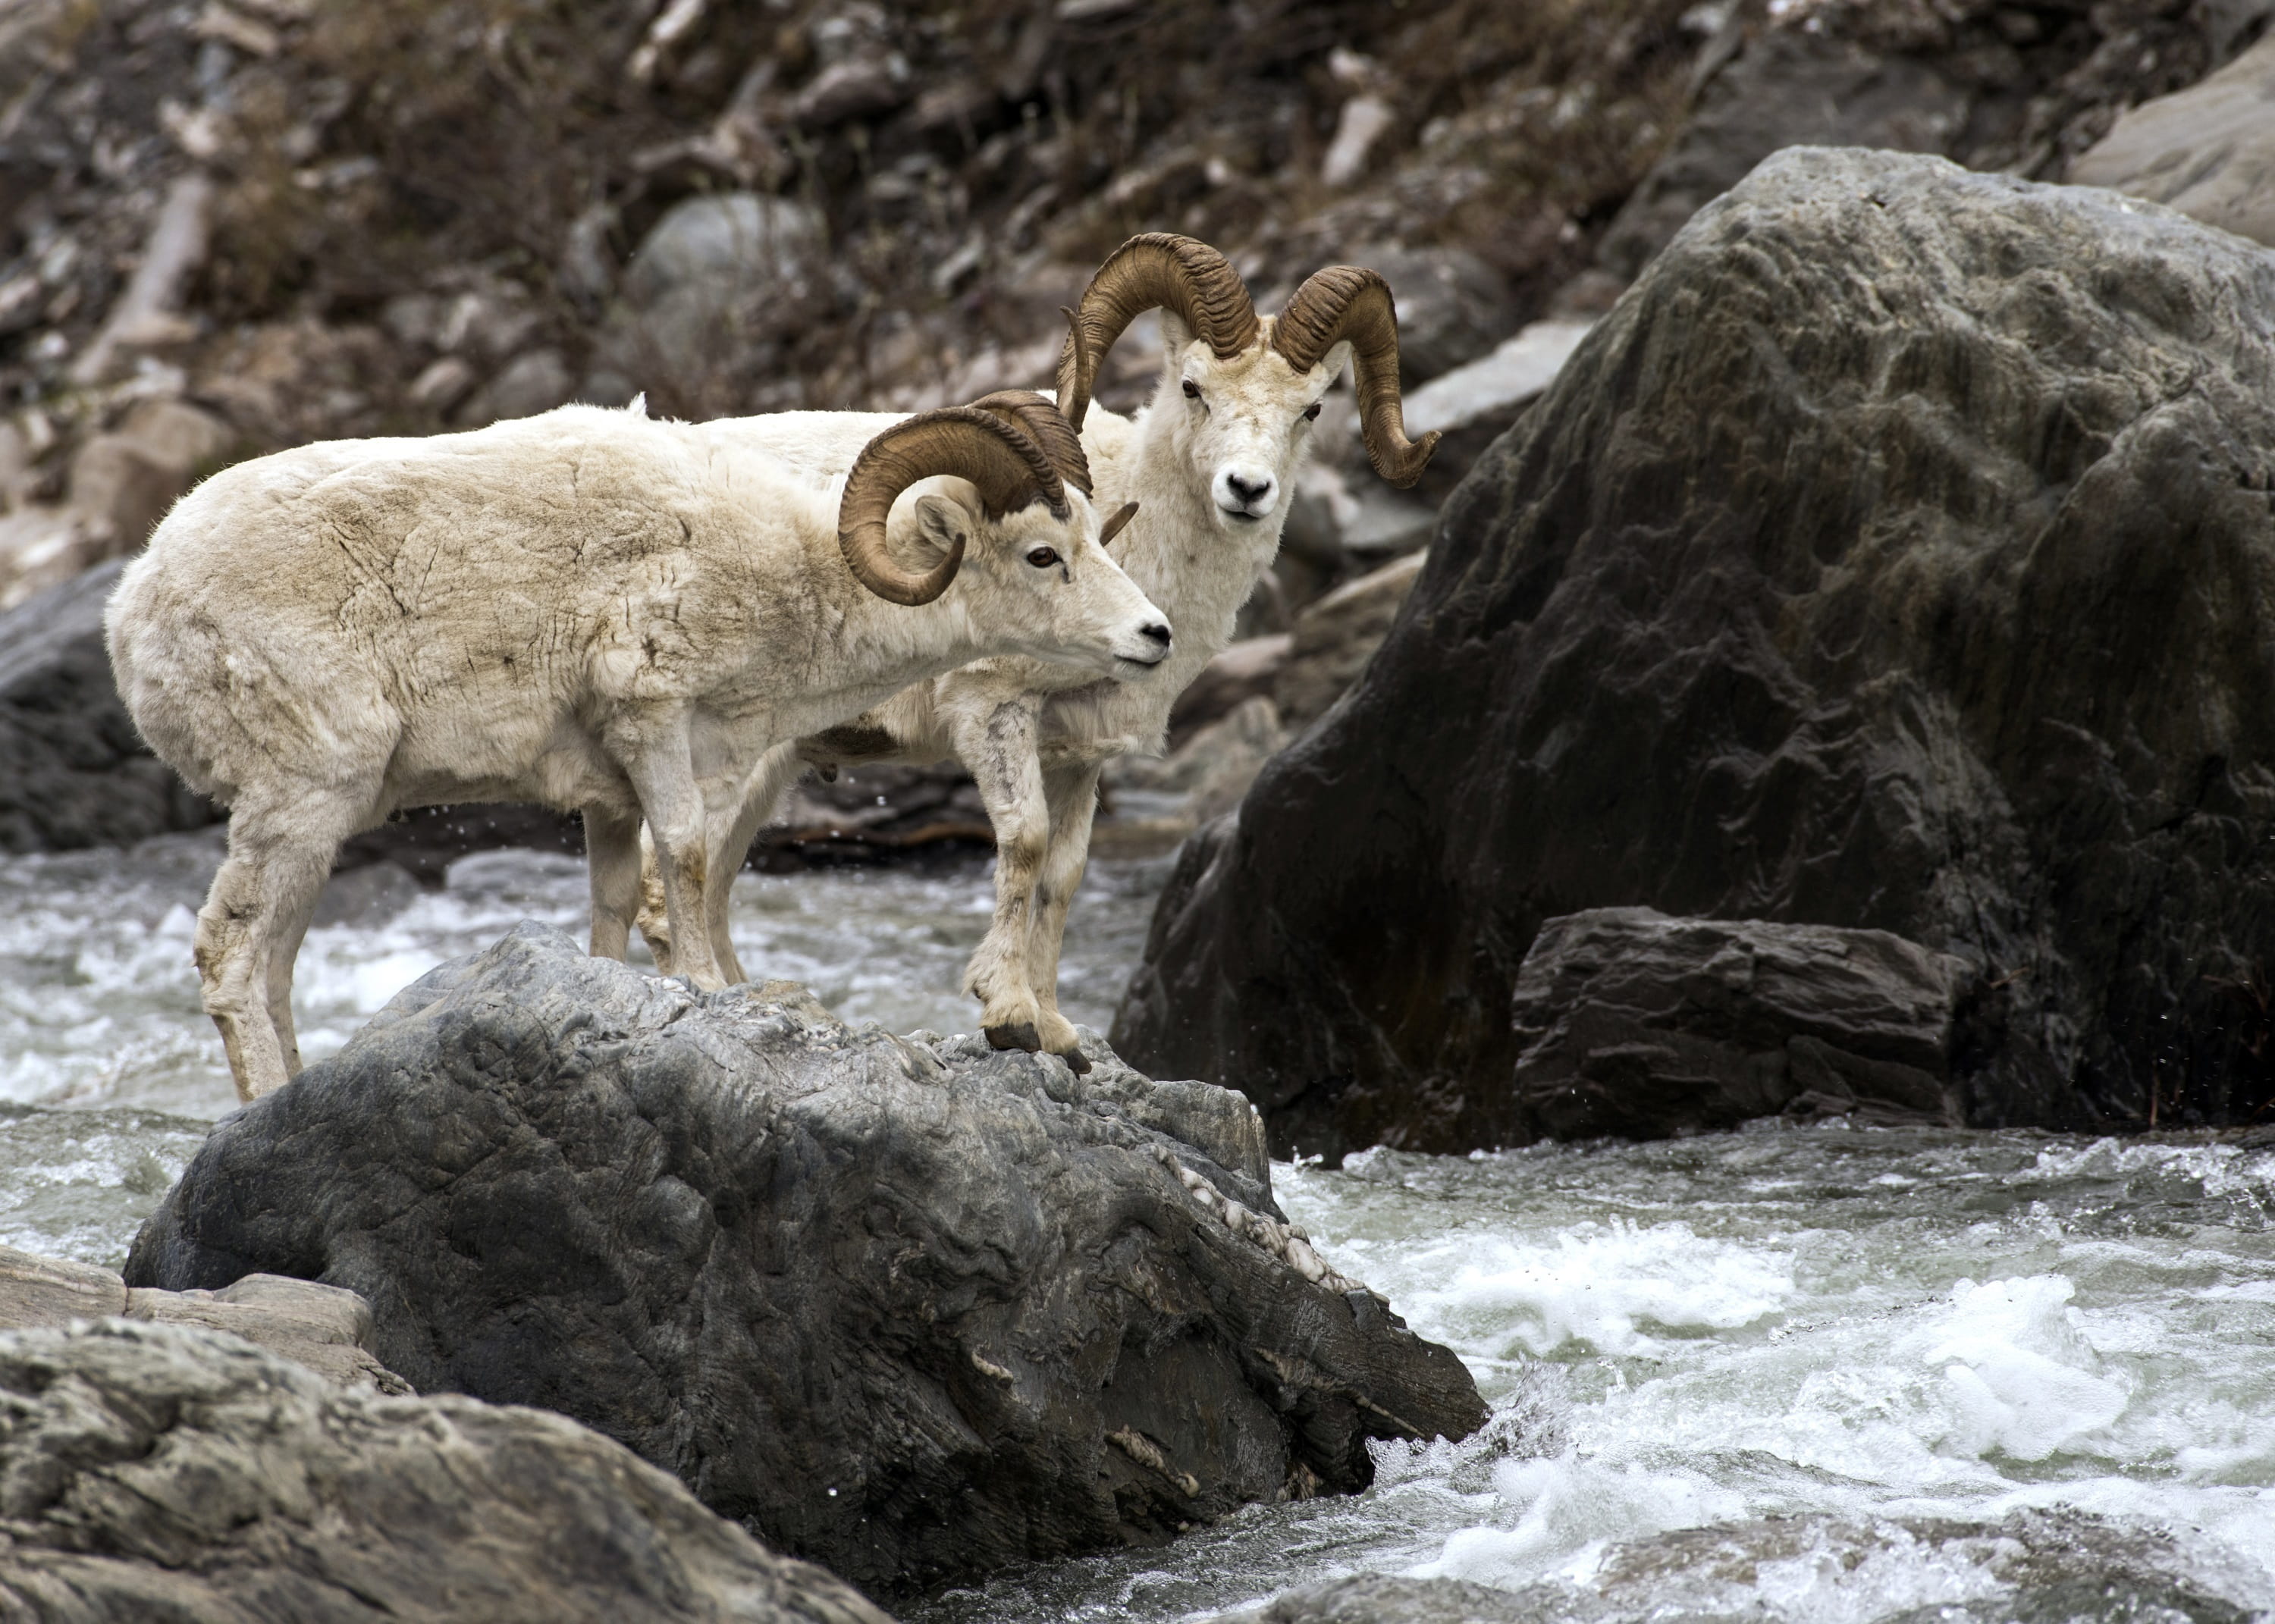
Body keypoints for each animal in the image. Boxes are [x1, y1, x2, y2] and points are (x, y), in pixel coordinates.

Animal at [105, 395, 1169, 1102]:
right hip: (303, 797)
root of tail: (138, 605)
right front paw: (705, 993)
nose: (1153, 635)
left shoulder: (609, 795)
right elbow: (689, 860)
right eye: (1042, 554)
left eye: (1093, 534)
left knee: (277, 967)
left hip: (317, 826)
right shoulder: (653, 722)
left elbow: (616, 903)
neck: (781, 570)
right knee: (234, 957)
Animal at [636, 234, 1437, 1070]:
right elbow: (1023, 845)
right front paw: (1008, 1014)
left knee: (714, 885)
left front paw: (1055, 1030)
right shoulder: (995, 711)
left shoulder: (1081, 756)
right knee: (667, 884)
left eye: (1310, 409)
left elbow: (1063, 875)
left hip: (771, 766)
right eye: (1194, 388)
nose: (1247, 490)